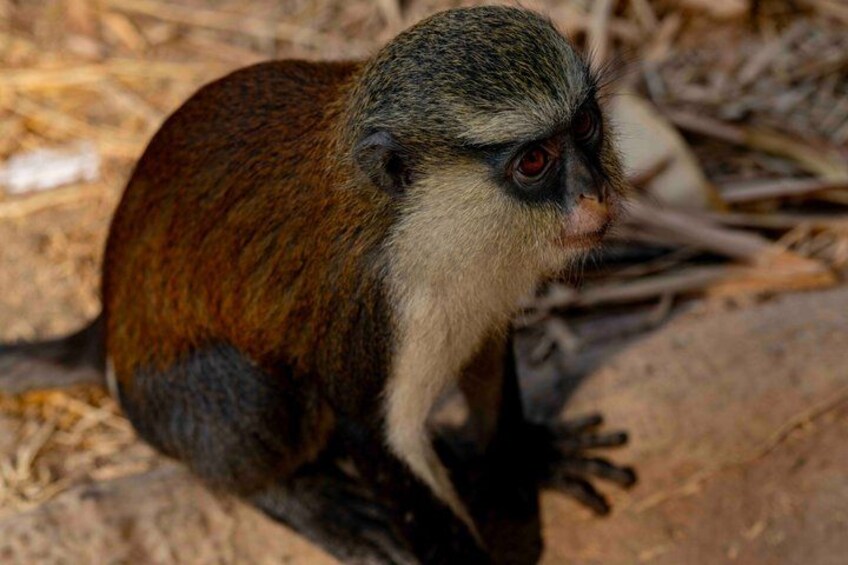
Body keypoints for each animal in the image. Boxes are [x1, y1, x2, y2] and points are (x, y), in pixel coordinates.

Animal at [0, 6, 637, 564]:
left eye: (585, 126)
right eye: (534, 161)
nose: (594, 194)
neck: (418, 221)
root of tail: (105, 330)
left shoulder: (485, 290)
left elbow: (488, 366)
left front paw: (528, 454)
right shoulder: (375, 309)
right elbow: (379, 439)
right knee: (260, 404)